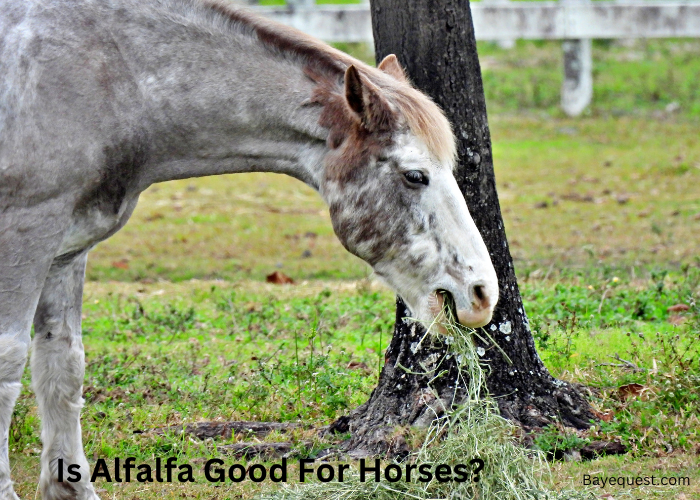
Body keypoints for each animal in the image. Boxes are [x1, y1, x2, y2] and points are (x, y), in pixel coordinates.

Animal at [0, 1, 498, 498]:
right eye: (415, 175)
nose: (483, 294)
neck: (110, 77)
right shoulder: (28, 233)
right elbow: (9, 365)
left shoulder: (67, 250)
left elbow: (62, 365)